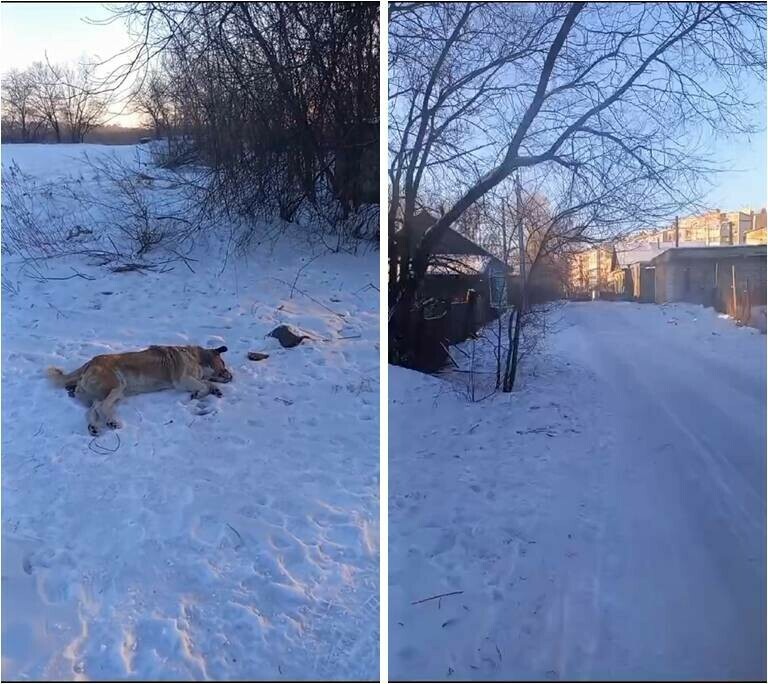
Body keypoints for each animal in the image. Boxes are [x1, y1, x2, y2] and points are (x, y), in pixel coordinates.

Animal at [44, 344, 230, 436]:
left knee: (93, 409)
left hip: (110, 393)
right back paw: (112, 422)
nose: (232, 376)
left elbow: (207, 384)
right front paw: (200, 392)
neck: (196, 357)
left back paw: (94, 427)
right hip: (117, 386)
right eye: (223, 365)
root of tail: (89, 363)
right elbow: (203, 385)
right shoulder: (182, 380)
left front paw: (215, 390)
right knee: (102, 407)